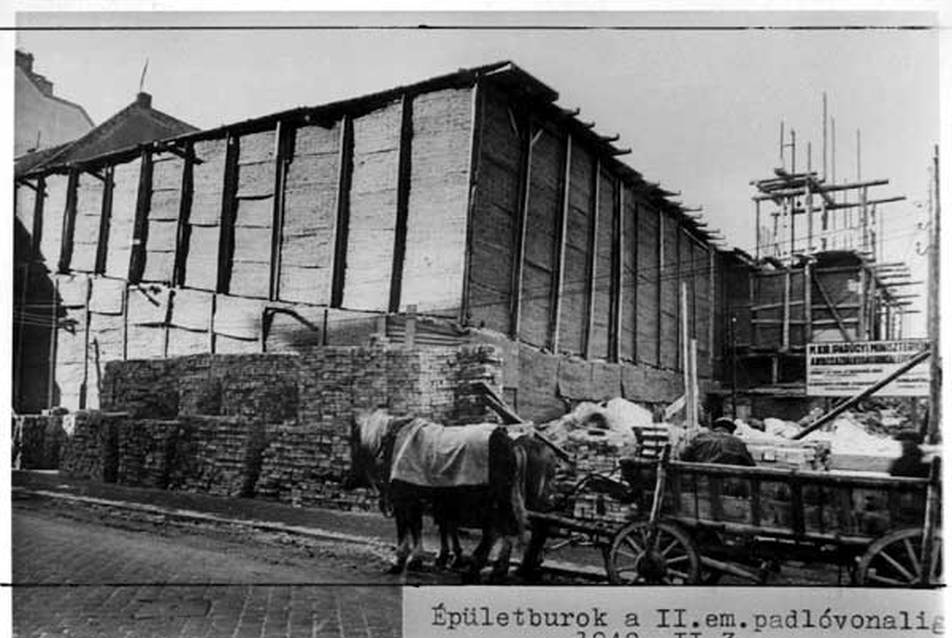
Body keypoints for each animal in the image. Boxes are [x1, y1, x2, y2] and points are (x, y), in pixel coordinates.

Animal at [348, 410, 532, 584]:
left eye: (353, 443)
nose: (347, 480)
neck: (393, 441)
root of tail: (508, 442)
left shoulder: (402, 499)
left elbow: (405, 527)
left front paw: (400, 560)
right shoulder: (417, 501)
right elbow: (417, 526)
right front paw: (417, 559)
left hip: (487, 501)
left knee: (494, 531)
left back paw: (475, 570)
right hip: (499, 499)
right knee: (504, 529)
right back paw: (496, 571)